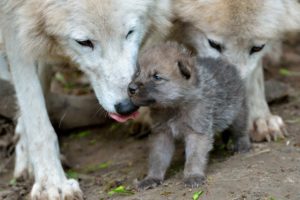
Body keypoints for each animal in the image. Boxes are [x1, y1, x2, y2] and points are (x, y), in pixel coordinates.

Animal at [0, 0, 171, 199]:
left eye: (130, 32)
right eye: (84, 42)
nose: (127, 107)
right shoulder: (13, 17)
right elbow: (36, 117)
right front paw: (52, 184)